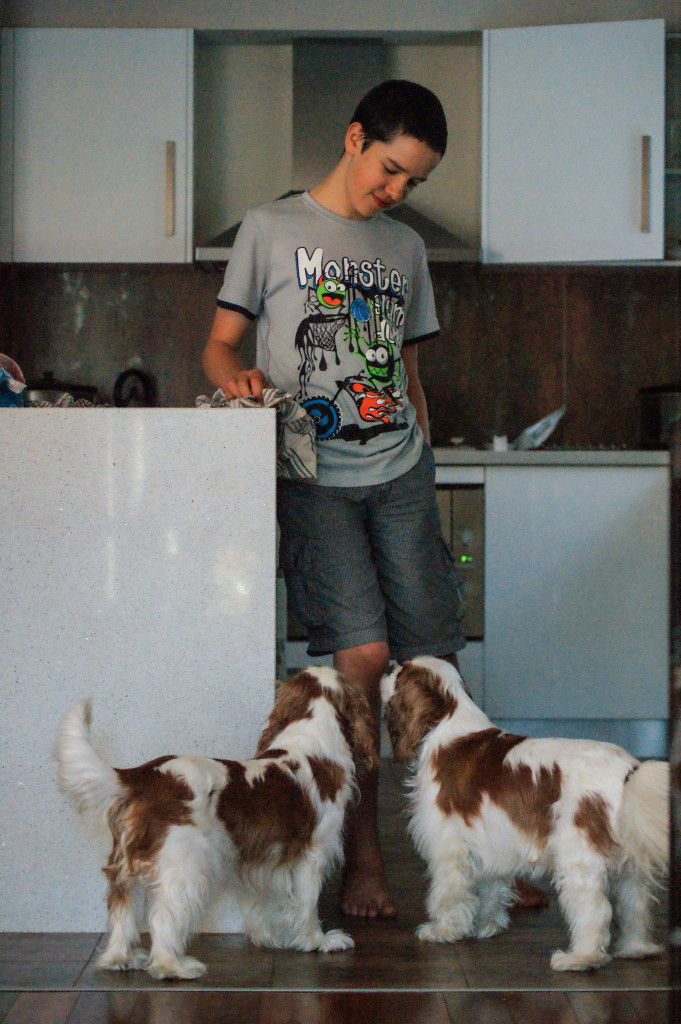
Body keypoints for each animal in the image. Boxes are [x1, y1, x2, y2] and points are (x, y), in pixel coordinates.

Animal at [378, 651, 667, 970]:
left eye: (401, 672)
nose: (388, 667)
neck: (449, 726)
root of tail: (630, 772)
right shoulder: (491, 840)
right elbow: (491, 887)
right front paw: (486, 925)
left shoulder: (449, 844)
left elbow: (448, 893)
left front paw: (442, 930)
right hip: (632, 865)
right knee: (637, 905)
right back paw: (637, 948)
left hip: (579, 857)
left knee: (594, 911)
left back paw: (579, 957)